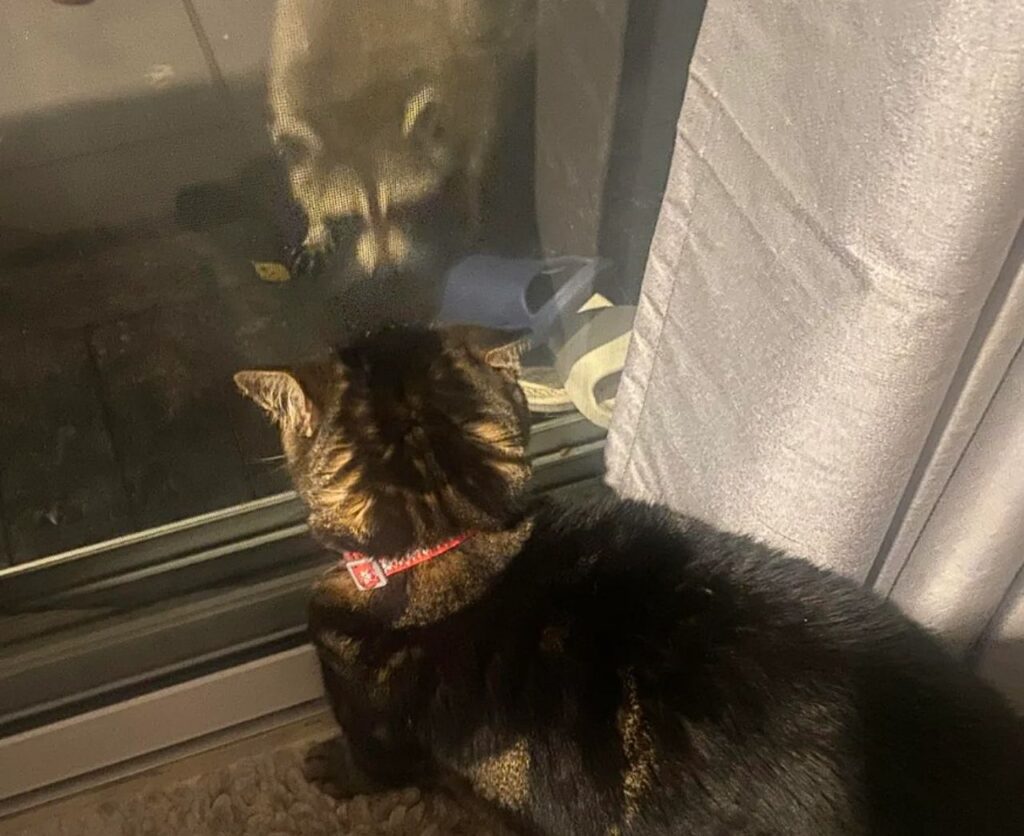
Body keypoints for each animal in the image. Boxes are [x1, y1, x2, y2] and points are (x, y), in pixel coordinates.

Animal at [267, 0, 532, 278]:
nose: (384, 270)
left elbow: (475, 136)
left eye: (398, 209)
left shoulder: (466, 72)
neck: (357, 108)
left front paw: (468, 198)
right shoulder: (284, 80)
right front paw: (316, 224)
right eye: (351, 218)